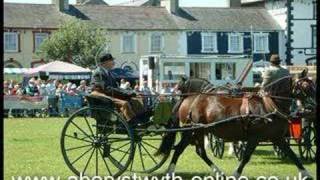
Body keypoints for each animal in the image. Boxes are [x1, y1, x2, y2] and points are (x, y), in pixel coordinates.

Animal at [156, 71, 316, 179]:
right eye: (305, 85)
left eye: (312, 85)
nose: (313, 107)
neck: (268, 105)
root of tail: (190, 99)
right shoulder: (254, 137)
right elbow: (246, 157)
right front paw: (236, 174)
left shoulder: (277, 137)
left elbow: (292, 155)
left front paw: (306, 174)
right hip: (192, 131)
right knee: (179, 150)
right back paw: (169, 173)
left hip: (199, 131)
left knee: (200, 151)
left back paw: (218, 172)